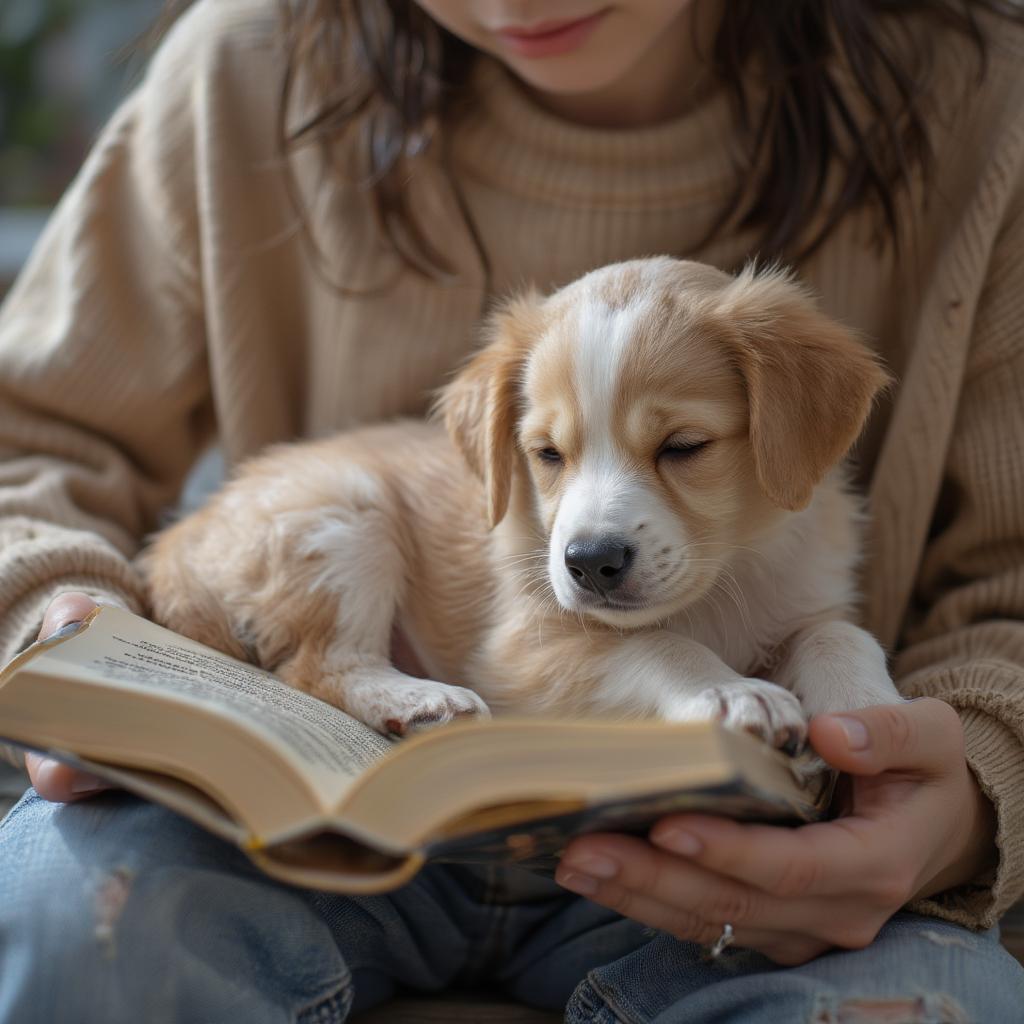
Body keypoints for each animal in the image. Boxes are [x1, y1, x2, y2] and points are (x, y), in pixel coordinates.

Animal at [142, 260, 897, 749]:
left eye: (683, 446)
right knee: (319, 664)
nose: (590, 563)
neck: (722, 583)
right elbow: (658, 645)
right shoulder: (525, 651)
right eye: (547, 454)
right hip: (343, 513)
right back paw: (419, 700)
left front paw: (866, 705)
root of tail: (176, 542)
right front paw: (730, 692)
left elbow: (839, 632)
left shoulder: (803, 591)